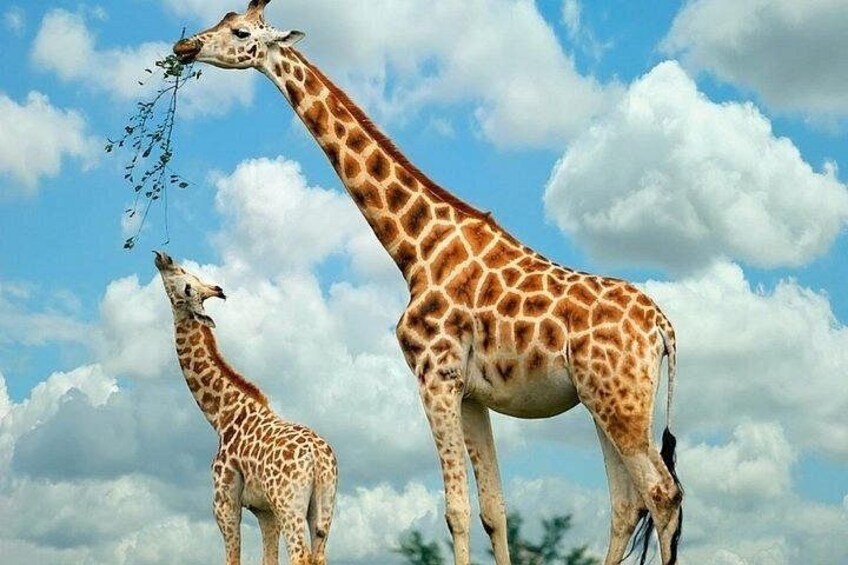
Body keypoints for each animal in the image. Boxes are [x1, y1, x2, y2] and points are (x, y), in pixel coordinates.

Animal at [154, 251, 338, 565]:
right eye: (189, 275)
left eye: (187, 285)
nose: (163, 258)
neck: (221, 414)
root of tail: (318, 458)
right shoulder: (265, 510)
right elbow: (268, 559)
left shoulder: (225, 502)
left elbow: (233, 558)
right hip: (324, 507)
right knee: (319, 555)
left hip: (290, 504)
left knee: (300, 555)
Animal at [173, 2, 683, 563]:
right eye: (222, 20)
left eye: (241, 33)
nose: (184, 47)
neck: (415, 248)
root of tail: (662, 328)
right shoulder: (472, 394)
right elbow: (493, 512)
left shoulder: (434, 376)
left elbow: (456, 510)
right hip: (605, 402)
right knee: (626, 504)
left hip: (620, 402)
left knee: (663, 493)